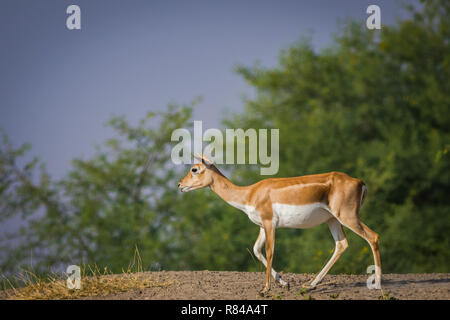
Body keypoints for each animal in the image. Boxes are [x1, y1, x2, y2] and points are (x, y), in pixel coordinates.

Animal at [178, 154, 382, 292]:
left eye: (194, 169)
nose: (180, 185)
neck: (249, 194)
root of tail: (360, 182)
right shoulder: (262, 226)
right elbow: (256, 250)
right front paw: (285, 282)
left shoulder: (269, 223)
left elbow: (269, 251)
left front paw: (265, 288)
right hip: (333, 220)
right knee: (341, 244)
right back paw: (310, 284)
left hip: (347, 217)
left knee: (373, 236)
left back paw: (377, 283)